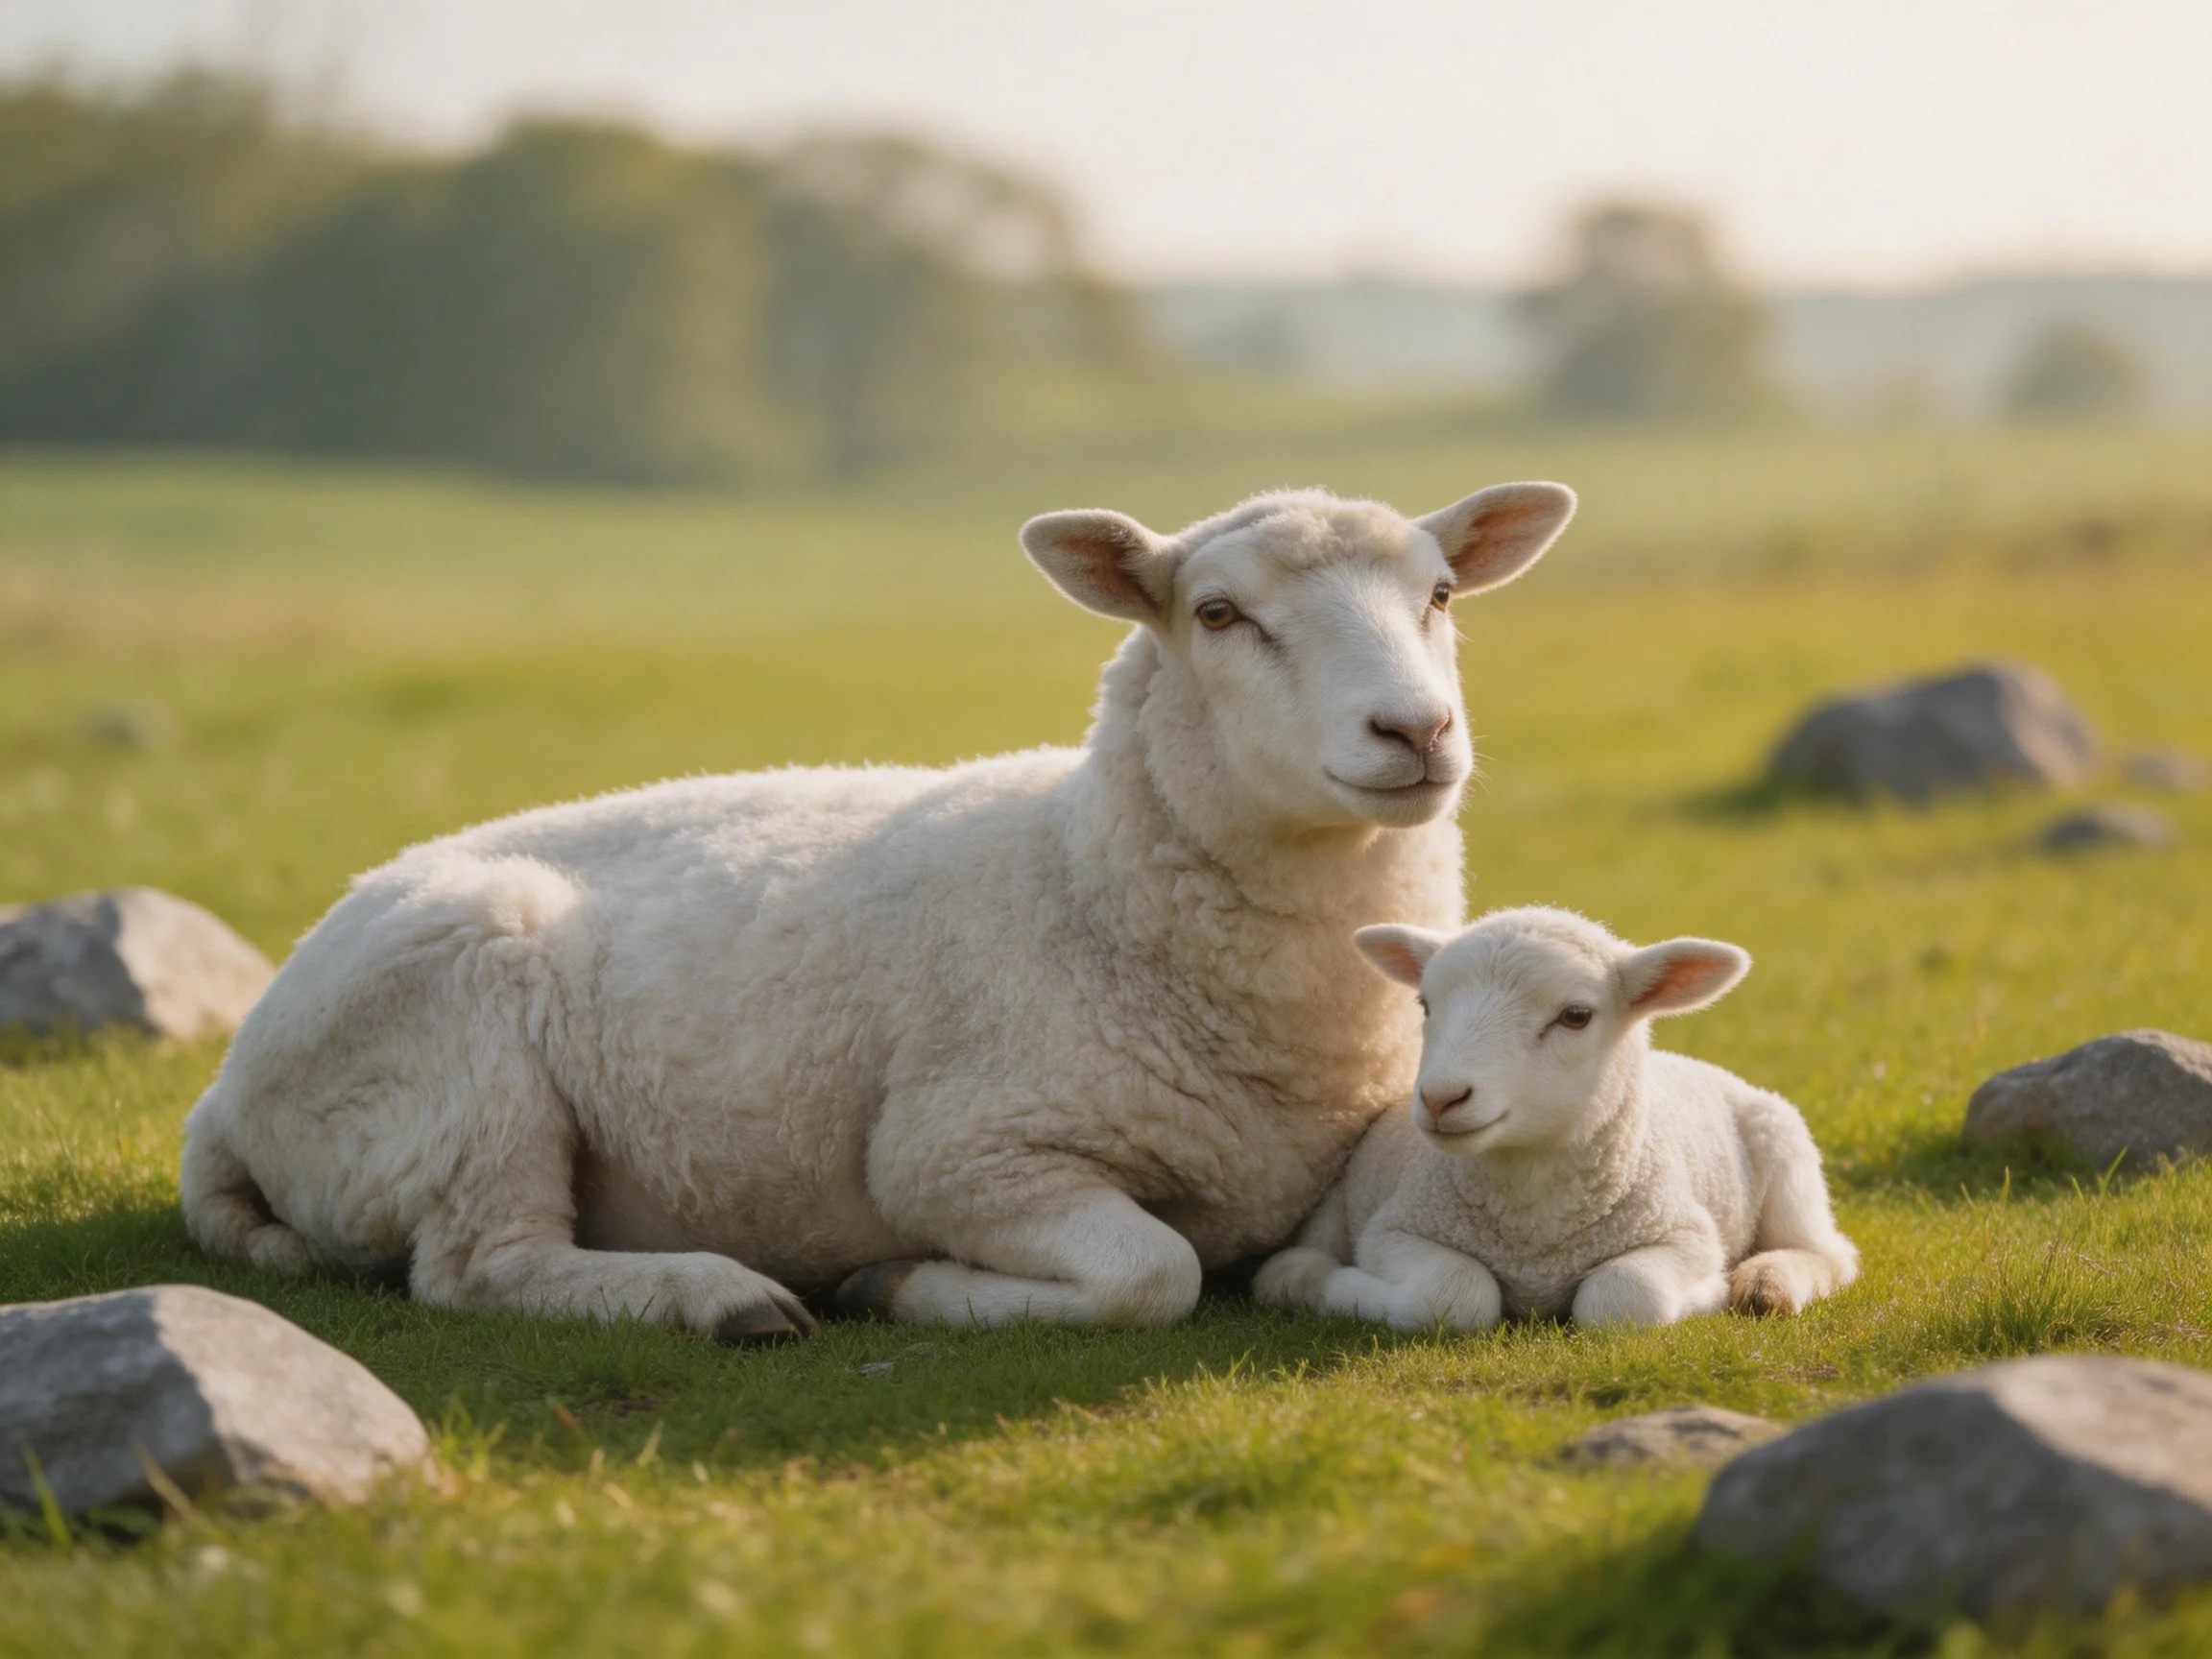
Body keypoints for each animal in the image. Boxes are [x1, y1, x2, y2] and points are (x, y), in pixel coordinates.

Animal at [179, 483, 1579, 1339]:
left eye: (1441, 597)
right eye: (1220, 614)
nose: (1415, 731)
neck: (1083, 881)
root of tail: (226, 1090)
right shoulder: (959, 1150)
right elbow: (1154, 1273)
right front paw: (899, 1283)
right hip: (458, 1064)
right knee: (483, 1264)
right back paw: (723, 1300)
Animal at [1253, 906, 1857, 1331]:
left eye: (1576, 1016)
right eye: (1424, 1005)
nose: (1441, 1098)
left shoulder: (1686, 1233)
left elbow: (1625, 1299)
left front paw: (1712, 1292)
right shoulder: (1393, 1228)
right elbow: (1452, 1294)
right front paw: (1343, 1287)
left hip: (1788, 1152)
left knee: (1831, 1254)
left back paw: (1767, 1282)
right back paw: (1306, 1279)